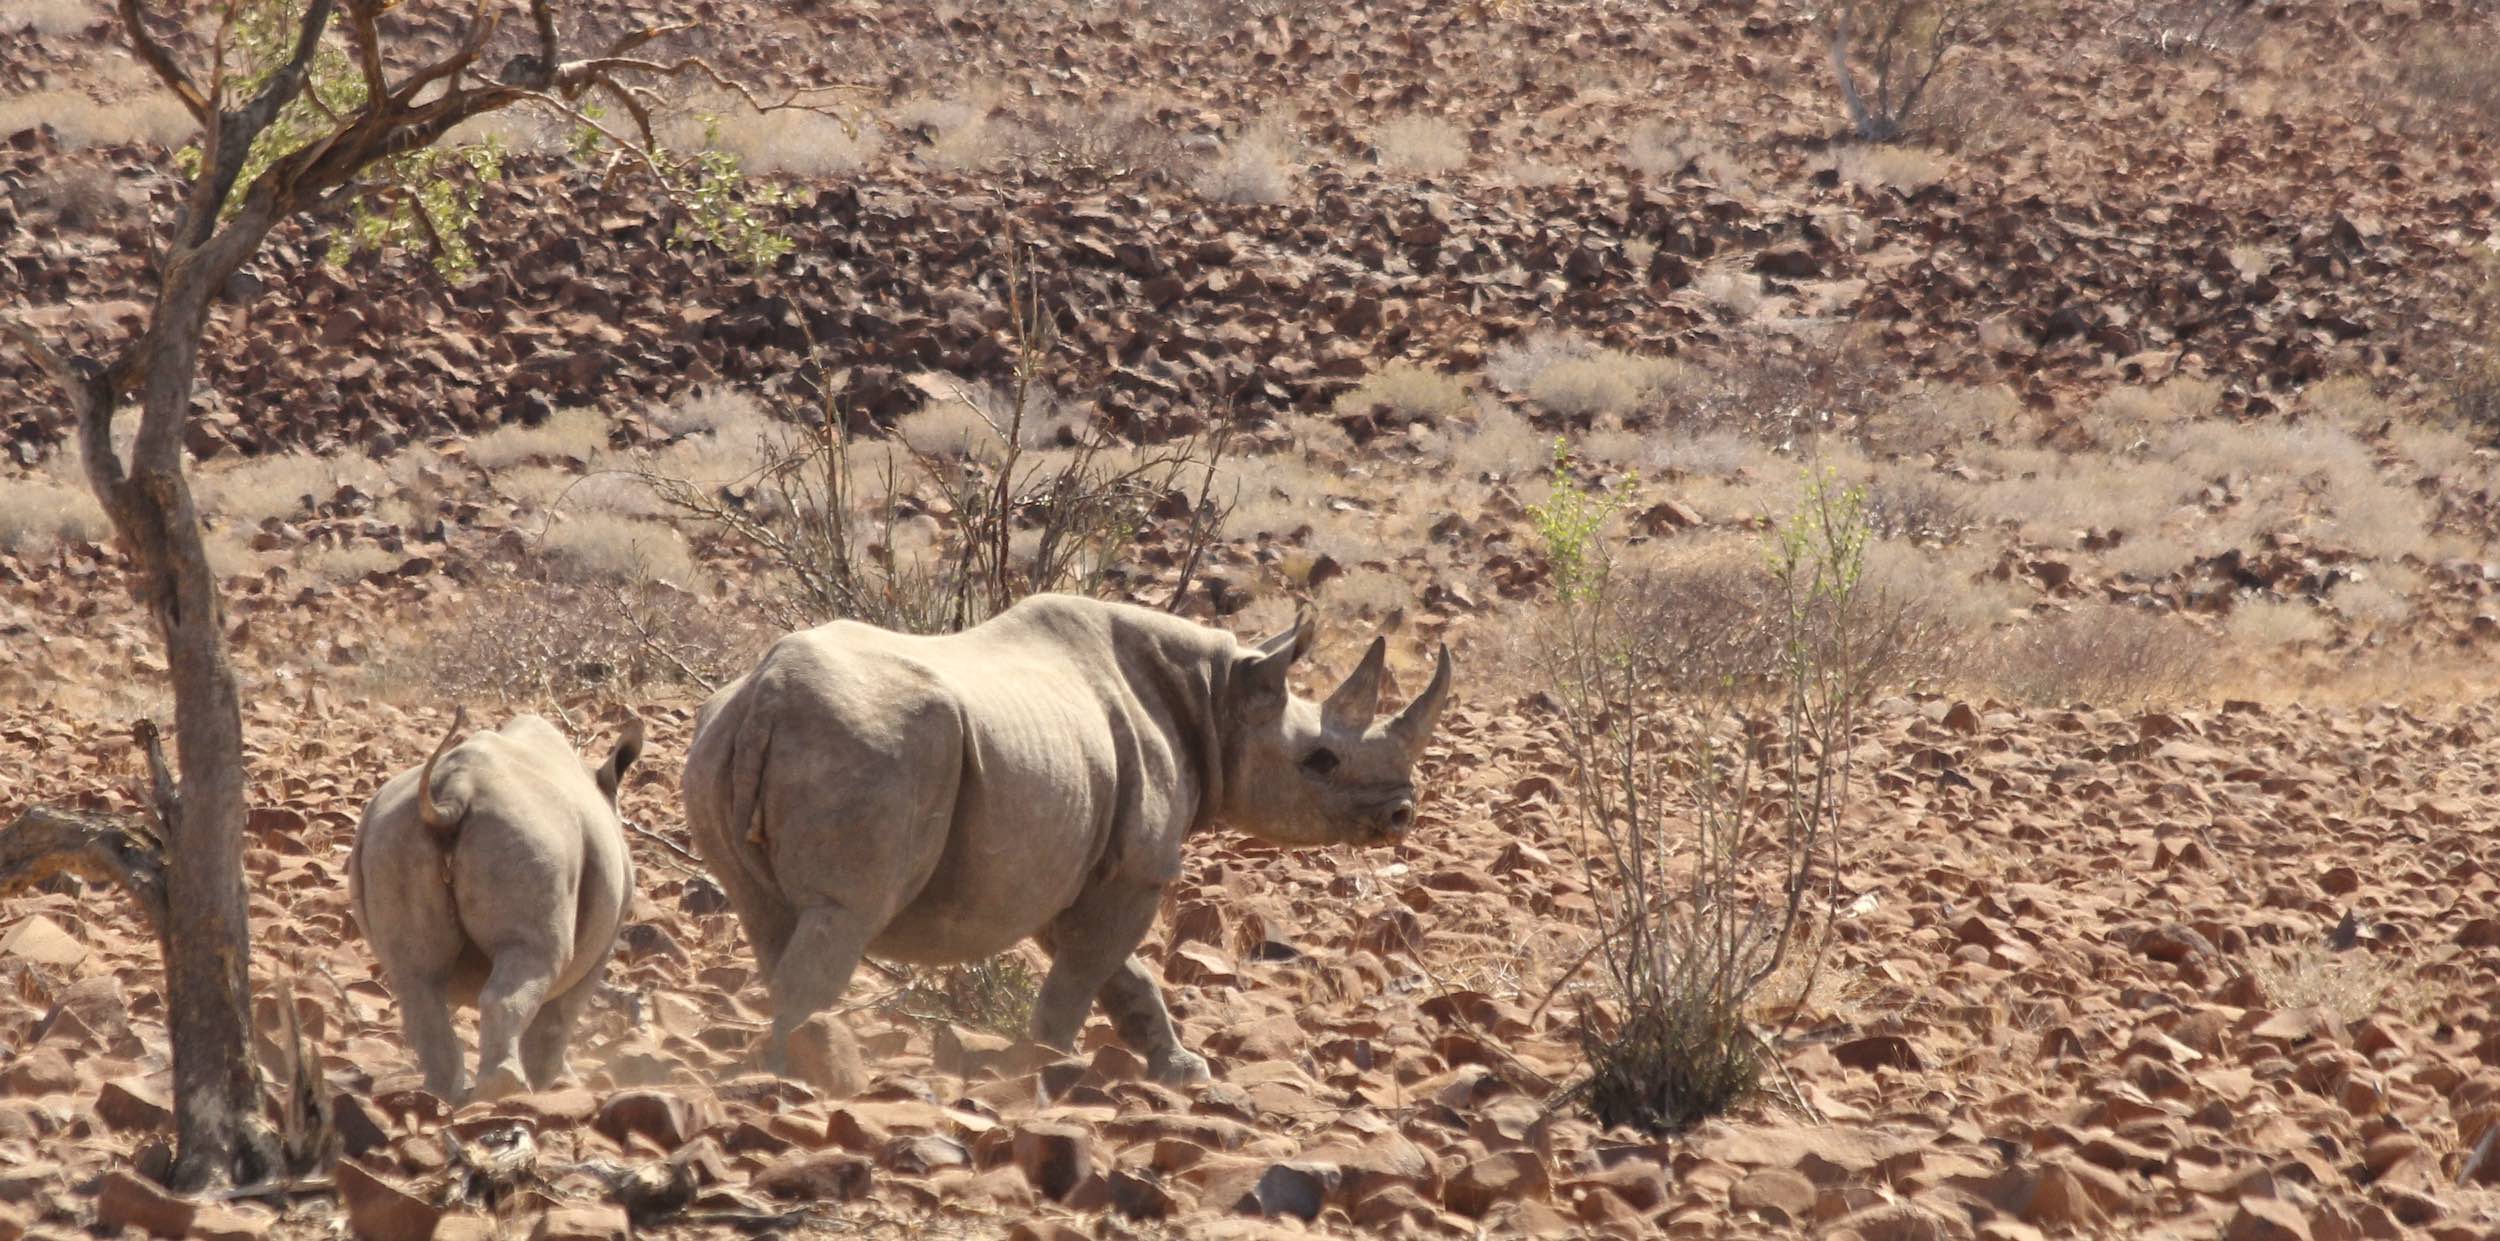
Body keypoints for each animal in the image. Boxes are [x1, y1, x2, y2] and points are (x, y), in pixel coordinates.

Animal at [350, 709, 642, 1102]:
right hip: (530, 836)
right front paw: (552, 1084)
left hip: (389, 833)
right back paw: (505, 1089)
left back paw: (445, 1095)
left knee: (416, 978)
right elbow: (560, 1016)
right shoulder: (601, 947)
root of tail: (456, 789)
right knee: (533, 958)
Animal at [683, 593, 1453, 1084]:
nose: (1401, 813)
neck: (1218, 700)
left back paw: (789, 1062)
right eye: (1321, 761)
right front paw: (1047, 1065)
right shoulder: (1138, 866)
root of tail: (768, 694)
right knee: (845, 913)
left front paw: (1184, 1071)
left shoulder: (1077, 859)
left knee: (769, 914)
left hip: (717, 734)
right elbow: (1086, 971)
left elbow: (1119, 972)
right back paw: (797, 1074)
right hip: (874, 747)